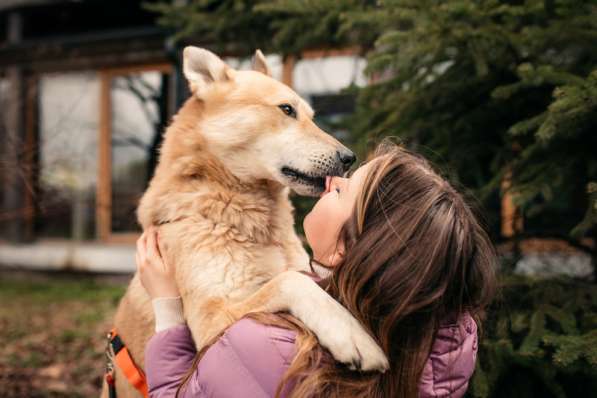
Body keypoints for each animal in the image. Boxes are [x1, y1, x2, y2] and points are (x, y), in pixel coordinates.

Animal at [103, 47, 386, 398]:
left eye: (310, 115)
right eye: (287, 109)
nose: (349, 158)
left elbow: (299, 276)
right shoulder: (210, 325)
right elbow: (291, 281)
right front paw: (352, 334)